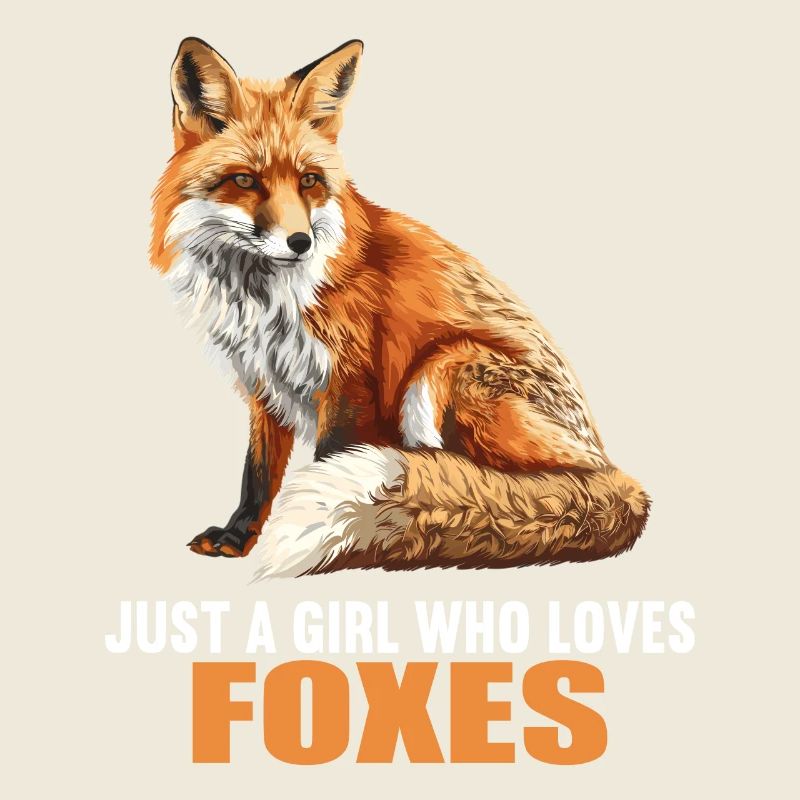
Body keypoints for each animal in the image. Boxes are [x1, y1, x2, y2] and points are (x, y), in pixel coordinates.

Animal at [151, 38, 650, 578]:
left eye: (309, 181)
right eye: (244, 180)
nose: (301, 243)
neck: (263, 298)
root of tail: (614, 472)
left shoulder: (349, 382)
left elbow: (328, 461)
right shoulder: (265, 383)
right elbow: (257, 475)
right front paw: (238, 536)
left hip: (443, 369)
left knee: (480, 480)